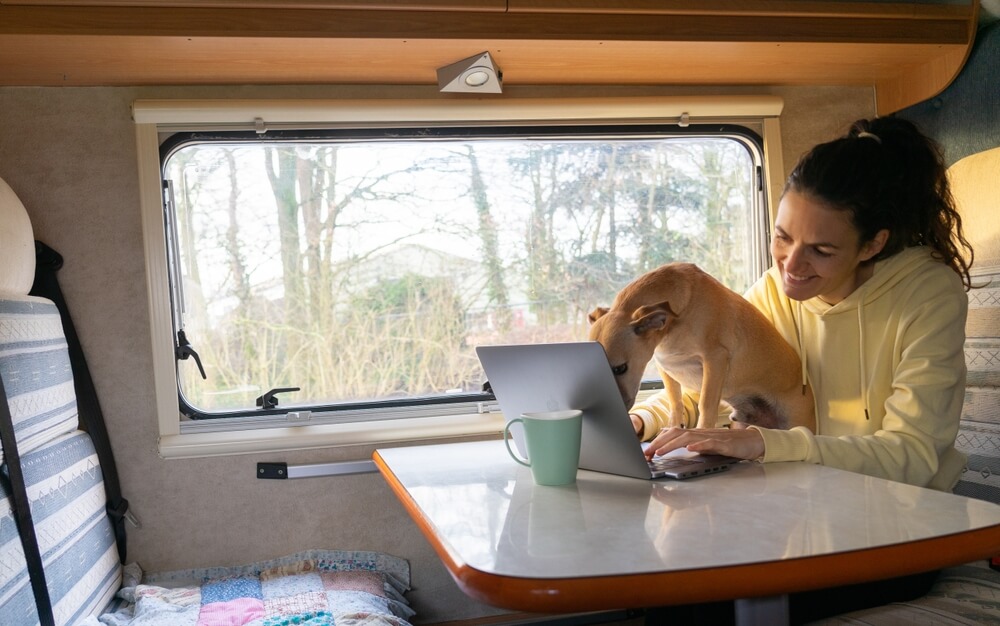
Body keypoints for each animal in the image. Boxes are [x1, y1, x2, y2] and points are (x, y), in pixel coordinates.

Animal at [588, 260, 816, 432]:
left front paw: (701, 433)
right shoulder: (665, 368)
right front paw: (673, 427)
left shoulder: (714, 359)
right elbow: (675, 401)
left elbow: (706, 404)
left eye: (620, 368)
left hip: (795, 422)